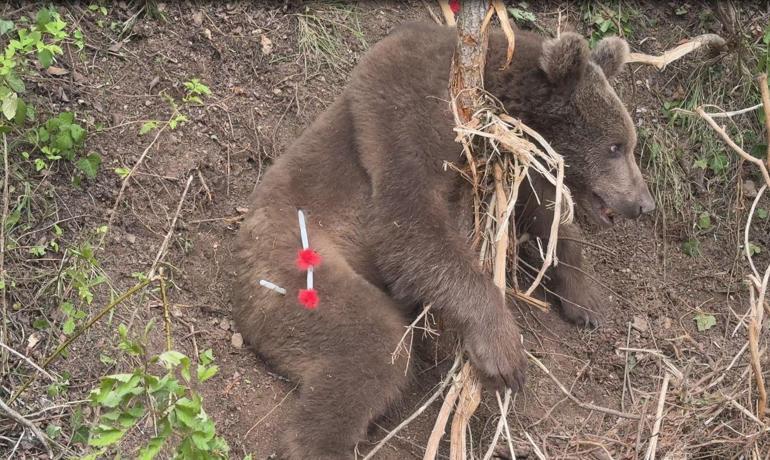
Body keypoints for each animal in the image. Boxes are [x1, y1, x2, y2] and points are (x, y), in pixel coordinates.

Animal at [231, 22, 652, 460]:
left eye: (629, 144)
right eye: (616, 146)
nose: (644, 203)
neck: (496, 95)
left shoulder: (510, 155)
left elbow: (544, 210)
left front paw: (586, 301)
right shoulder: (411, 109)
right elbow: (410, 223)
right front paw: (503, 351)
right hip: (294, 266)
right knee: (373, 346)